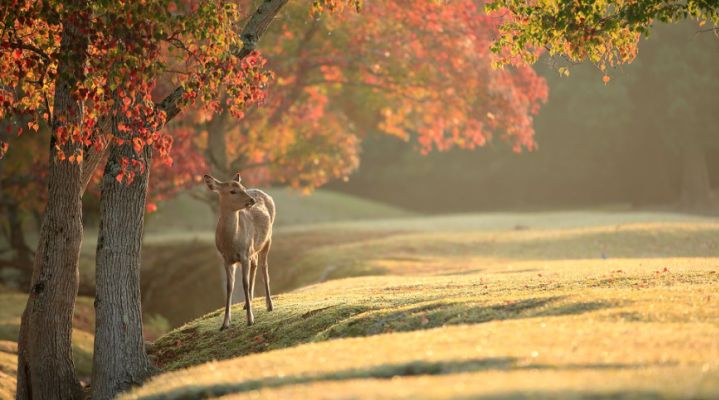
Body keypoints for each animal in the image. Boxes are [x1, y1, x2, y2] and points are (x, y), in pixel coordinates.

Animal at [205, 173, 278, 330]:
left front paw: (250, 319)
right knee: (255, 264)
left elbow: (244, 283)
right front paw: (225, 323)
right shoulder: (226, 259)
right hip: (253, 249)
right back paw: (247, 303)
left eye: (243, 188)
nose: (252, 200)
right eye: (232, 191)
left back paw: (269, 305)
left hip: (267, 239)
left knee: (264, 268)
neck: (231, 242)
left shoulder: (244, 253)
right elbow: (229, 286)